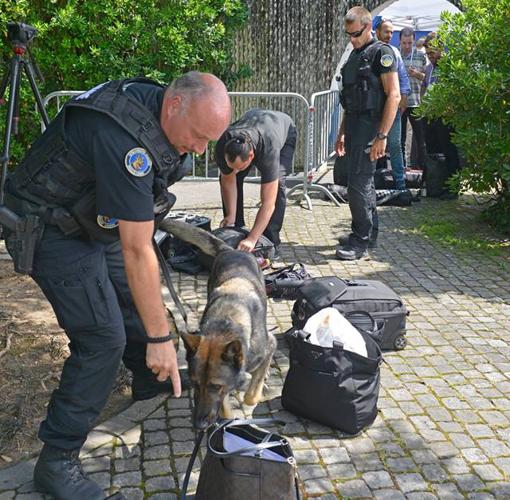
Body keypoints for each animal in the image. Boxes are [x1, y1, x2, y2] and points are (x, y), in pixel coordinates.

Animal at [157, 219, 276, 430]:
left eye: (215, 386)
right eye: (195, 384)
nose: (198, 425)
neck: (225, 323)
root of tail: (230, 249)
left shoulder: (270, 344)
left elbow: (251, 396)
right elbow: (224, 409)